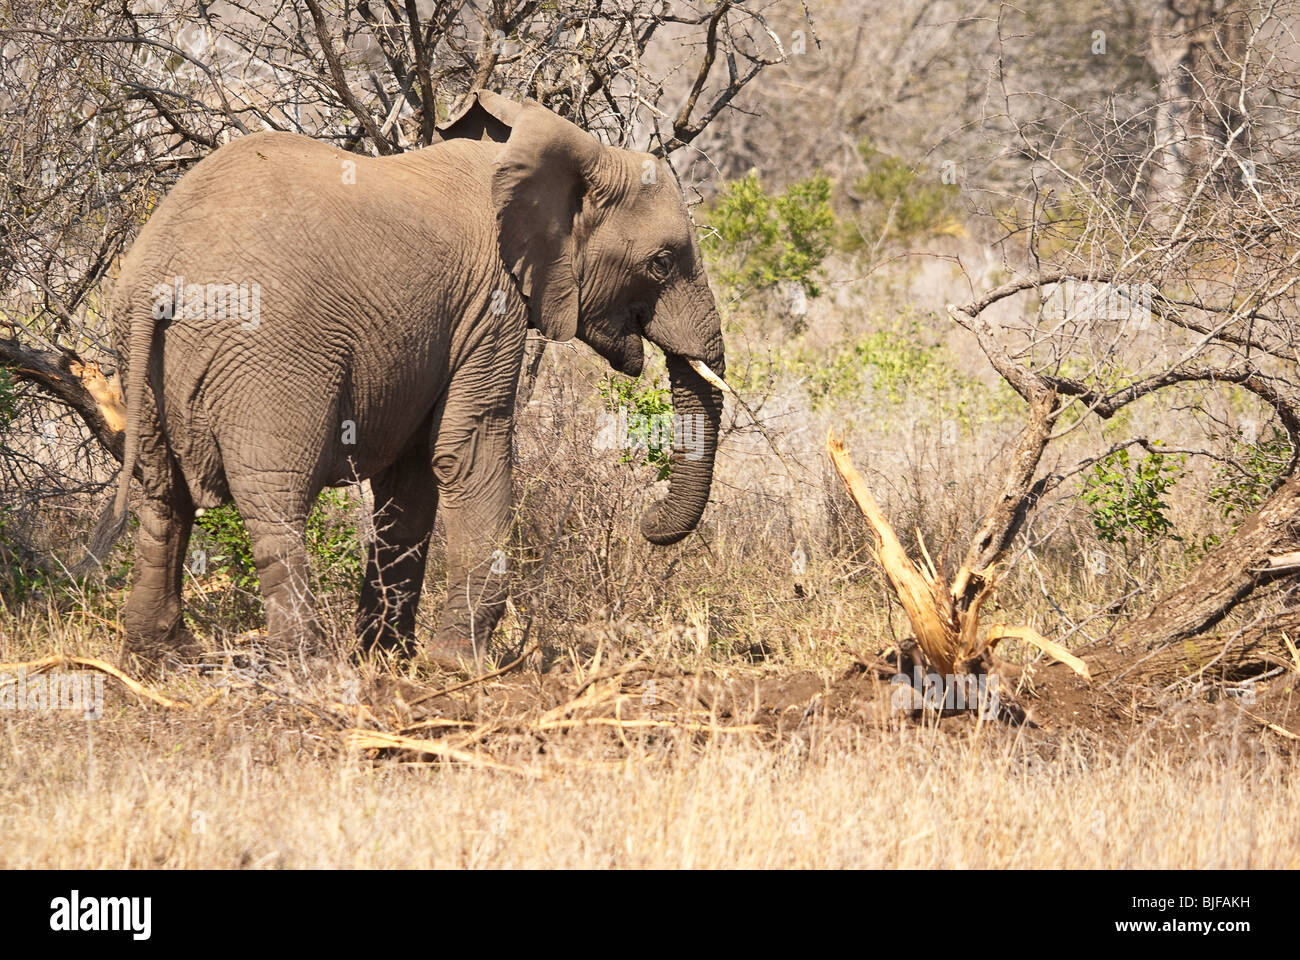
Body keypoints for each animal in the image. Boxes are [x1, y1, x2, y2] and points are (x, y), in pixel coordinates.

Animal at [98, 93, 733, 671]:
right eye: (661, 263)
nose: (647, 521)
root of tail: (161, 271)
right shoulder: (489, 305)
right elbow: (468, 449)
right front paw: (460, 666)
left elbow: (411, 479)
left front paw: (389, 658)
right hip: (271, 357)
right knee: (276, 500)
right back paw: (312, 666)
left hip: (140, 359)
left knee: (163, 496)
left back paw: (162, 656)